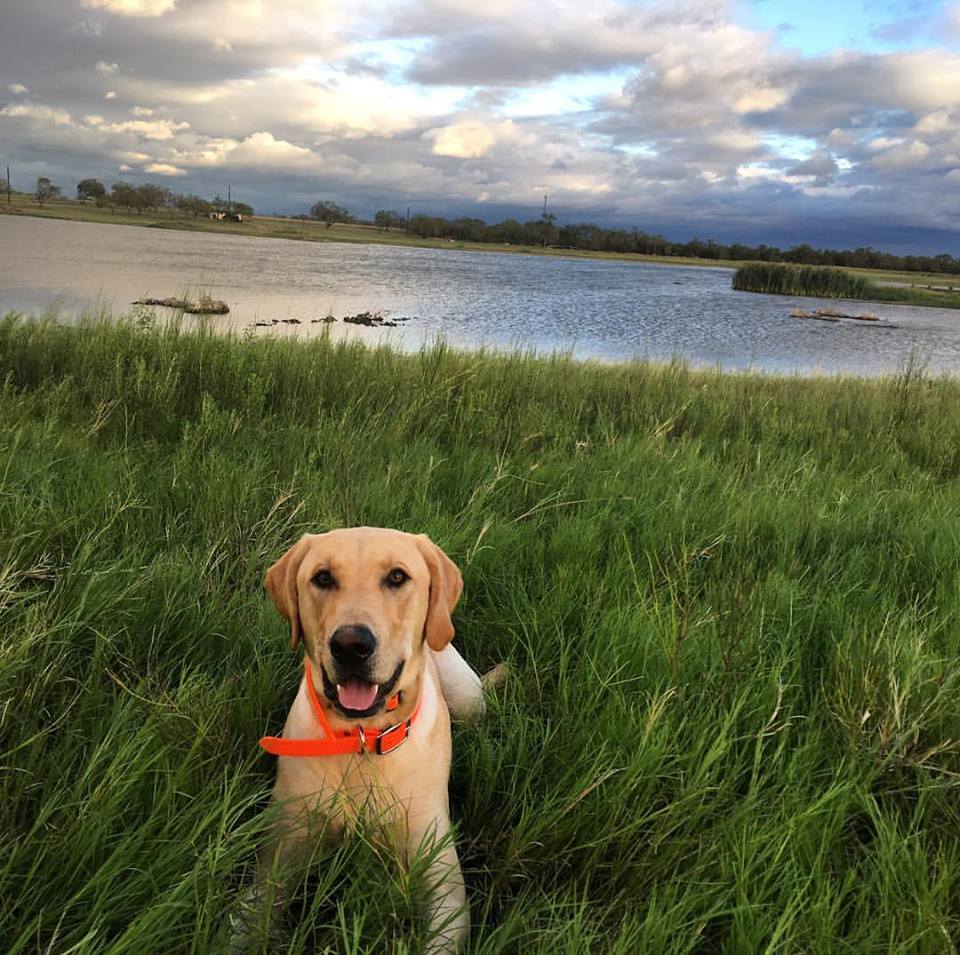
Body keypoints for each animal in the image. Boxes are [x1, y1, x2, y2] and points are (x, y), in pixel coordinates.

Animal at [233, 528, 488, 952]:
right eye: (322, 578)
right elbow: (247, 918)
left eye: (397, 577)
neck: (362, 741)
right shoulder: (281, 849)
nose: (351, 645)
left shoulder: (443, 883)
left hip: (468, 695)